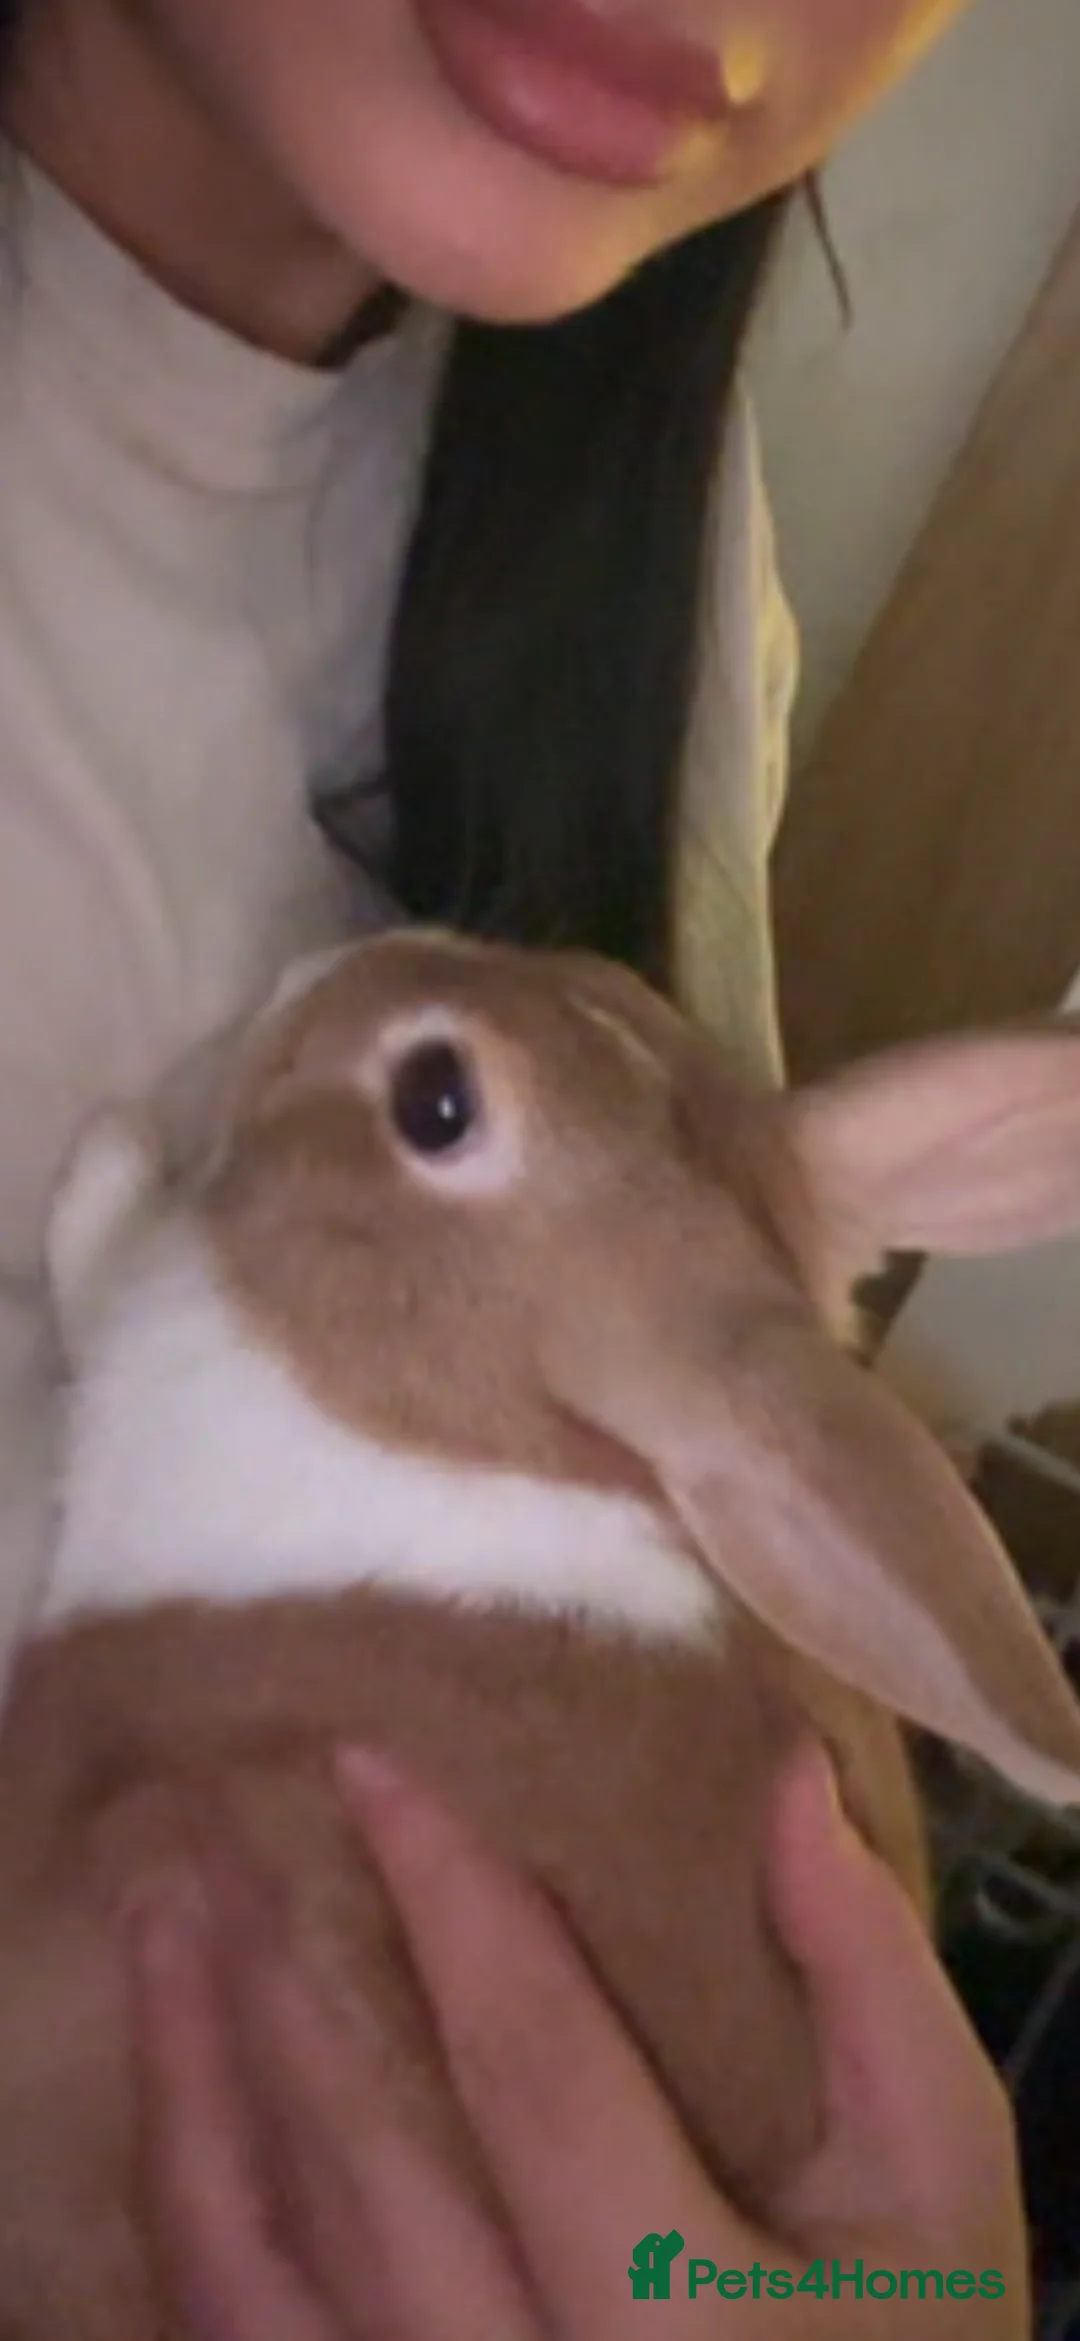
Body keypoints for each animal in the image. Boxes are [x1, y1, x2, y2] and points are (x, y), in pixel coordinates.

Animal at [0, 926, 1079, 2341]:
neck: (491, 1412)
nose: (316, 968)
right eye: (612, 981)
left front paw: (105, 1158)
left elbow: (99, 1271)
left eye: (436, 1101)